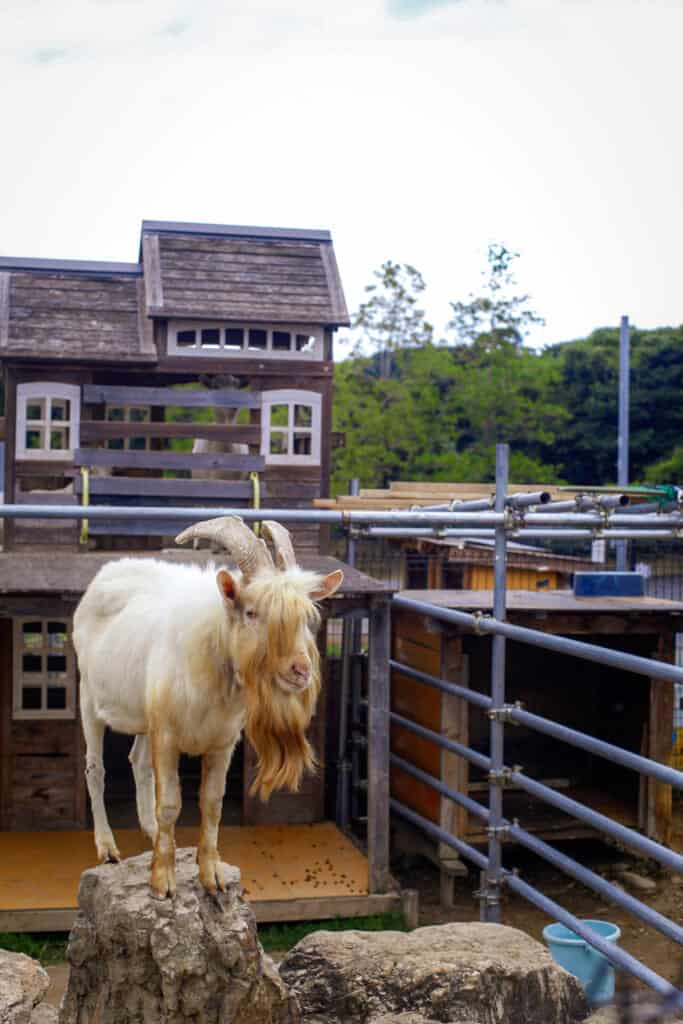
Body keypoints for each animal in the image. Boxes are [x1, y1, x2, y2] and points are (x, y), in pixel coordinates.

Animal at [72, 517, 343, 898]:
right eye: (251, 612)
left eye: (306, 617)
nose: (300, 671)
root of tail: (108, 571)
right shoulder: (167, 736)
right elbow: (170, 803)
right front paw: (163, 882)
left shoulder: (222, 742)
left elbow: (212, 803)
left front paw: (211, 876)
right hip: (89, 698)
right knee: (95, 770)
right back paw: (108, 847)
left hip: (145, 715)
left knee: (138, 761)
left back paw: (151, 832)